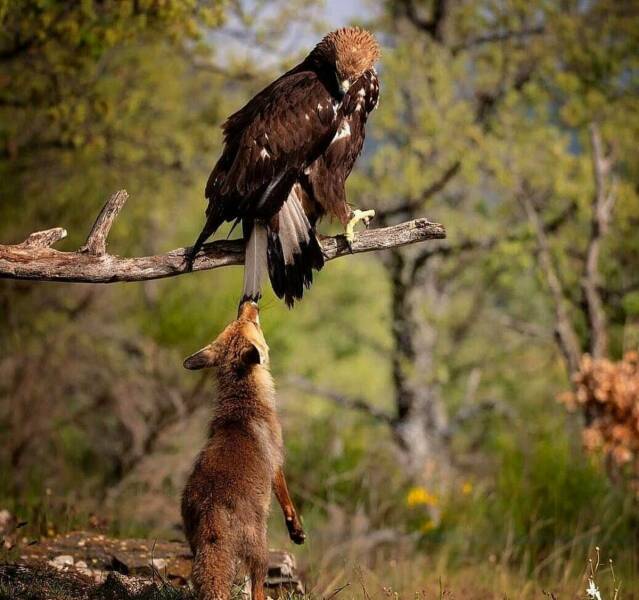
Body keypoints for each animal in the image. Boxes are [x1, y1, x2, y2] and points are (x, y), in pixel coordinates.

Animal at [181, 302, 304, 600]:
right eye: (254, 324)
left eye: (237, 320)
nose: (249, 303)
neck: (244, 403)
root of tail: (212, 505)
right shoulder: (276, 462)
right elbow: (287, 501)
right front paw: (296, 531)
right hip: (260, 550)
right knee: (257, 586)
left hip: (196, 549)